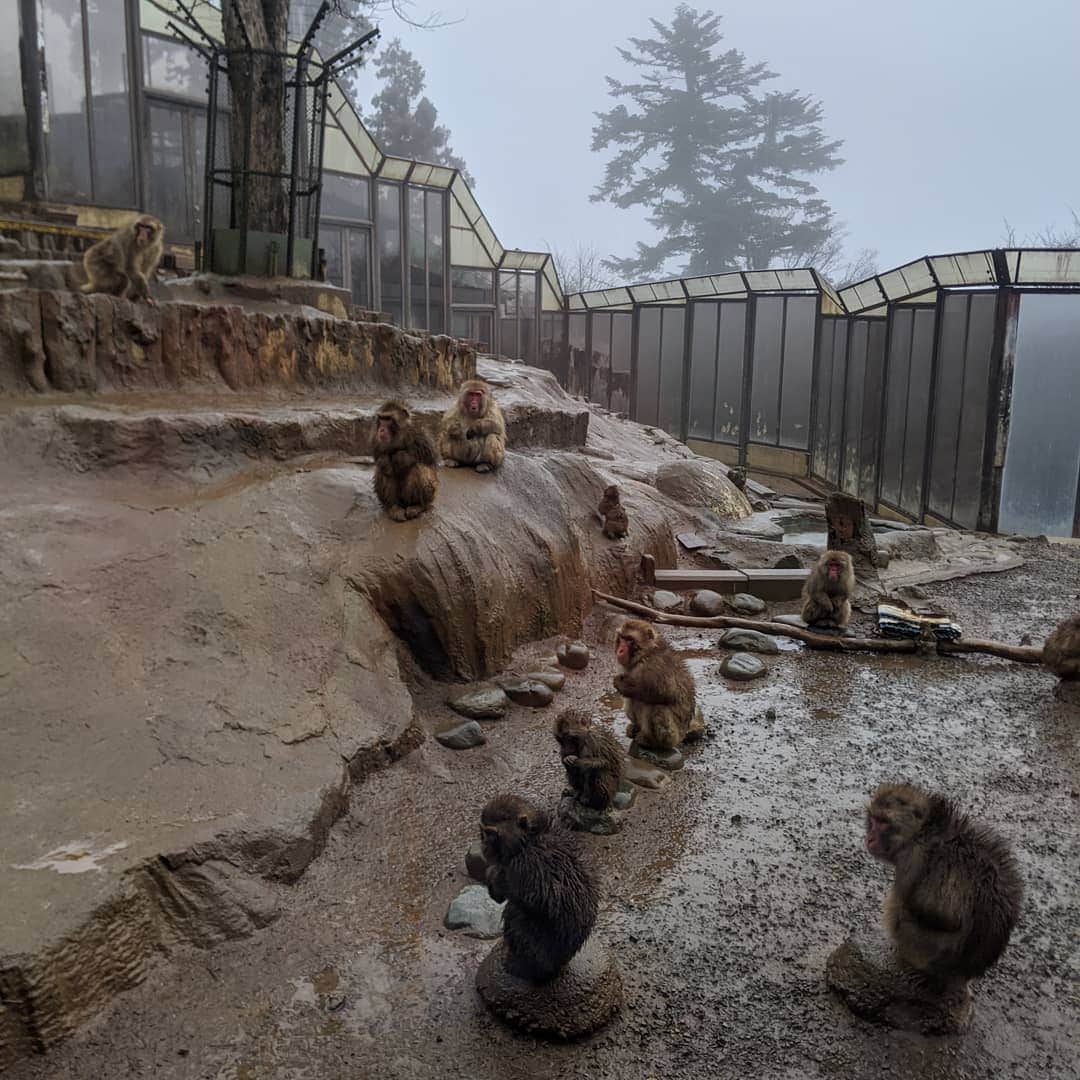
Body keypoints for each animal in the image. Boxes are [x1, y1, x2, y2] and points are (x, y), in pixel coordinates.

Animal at [480, 794, 599, 982]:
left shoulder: (525, 865)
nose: (484, 846)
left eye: (492, 835)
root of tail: (559, 964)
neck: (529, 839)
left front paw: (495, 876)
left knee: (516, 914)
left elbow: (534, 901)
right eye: (484, 832)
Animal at [614, 619, 703, 751]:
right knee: (632, 699)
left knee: (656, 707)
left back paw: (652, 742)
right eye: (622, 637)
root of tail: (682, 735)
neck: (646, 653)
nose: (620, 650)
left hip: (672, 736)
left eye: (629, 639)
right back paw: (636, 728)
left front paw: (620, 684)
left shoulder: (655, 666)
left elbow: (665, 692)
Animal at [865, 782, 1022, 991]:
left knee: (900, 910)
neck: (922, 831)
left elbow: (940, 916)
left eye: (883, 822)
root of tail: (964, 974)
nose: (869, 839)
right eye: (873, 820)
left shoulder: (913, 860)